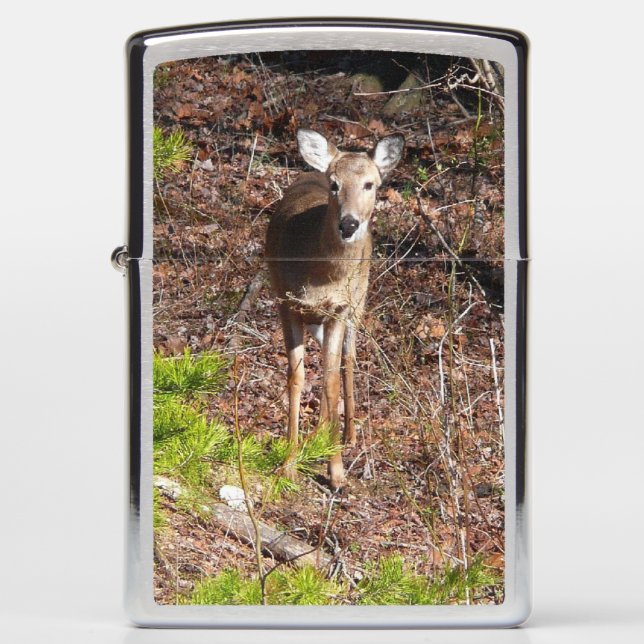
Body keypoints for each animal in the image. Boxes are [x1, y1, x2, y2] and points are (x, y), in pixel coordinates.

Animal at [265, 128, 404, 490]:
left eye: (370, 184)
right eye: (334, 184)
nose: (349, 224)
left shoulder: (339, 309)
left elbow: (329, 381)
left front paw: (336, 472)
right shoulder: (286, 302)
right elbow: (297, 377)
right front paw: (288, 463)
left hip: (359, 300)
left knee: (348, 360)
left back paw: (347, 435)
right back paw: (319, 436)